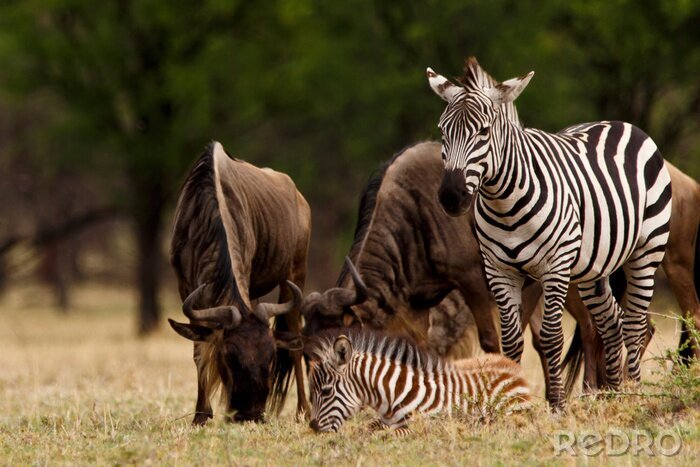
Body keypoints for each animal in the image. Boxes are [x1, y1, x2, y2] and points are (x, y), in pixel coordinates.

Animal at [307, 329, 531, 434]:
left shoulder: (422, 425)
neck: (392, 394)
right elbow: (367, 429)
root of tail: (514, 367)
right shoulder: (383, 421)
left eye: (326, 391)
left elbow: (385, 435)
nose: (313, 427)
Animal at [426, 58, 672, 408]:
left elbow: (552, 337)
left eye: (483, 132)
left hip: (646, 251)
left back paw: (633, 393)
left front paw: (556, 404)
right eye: (442, 131)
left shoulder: (553, 268)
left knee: (634, 325)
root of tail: (621, 123)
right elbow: (511, 342)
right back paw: (613, 395)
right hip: (593, 268)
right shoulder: (499, 271)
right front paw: (512, 403)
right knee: (611, 322)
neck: (504, 203)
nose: (451, 196)